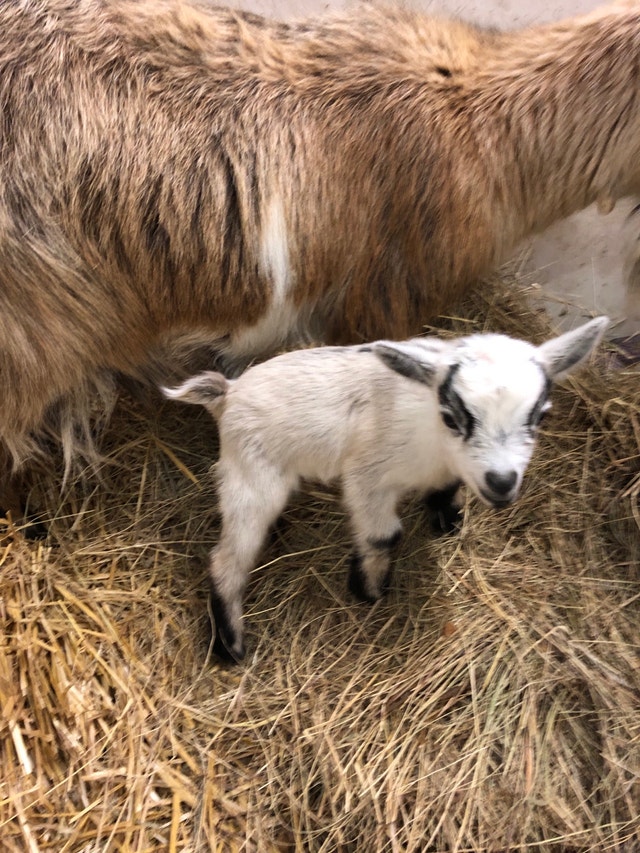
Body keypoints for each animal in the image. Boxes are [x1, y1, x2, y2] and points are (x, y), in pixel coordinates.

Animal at [163, 317, 608, 660]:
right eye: (451, 416)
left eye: (540, 416)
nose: (501, 482)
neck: (431, 437)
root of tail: (228, 392)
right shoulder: (366, 477)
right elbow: (383, 535)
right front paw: (369, 590)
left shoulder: (446, 471)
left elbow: (445, 491)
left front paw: (447, 519)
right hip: (251, 475)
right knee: (227, 557)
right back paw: (230, 645)